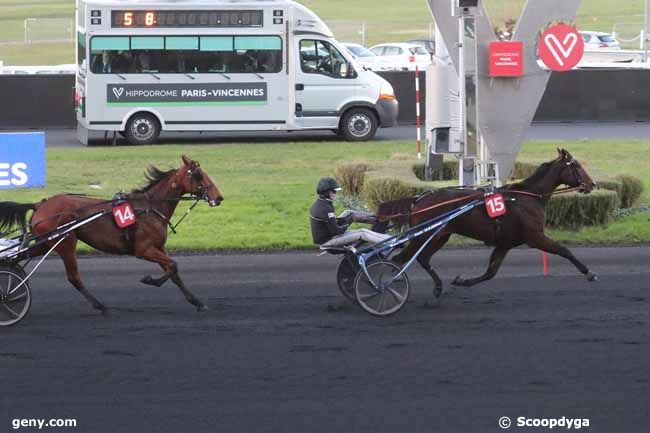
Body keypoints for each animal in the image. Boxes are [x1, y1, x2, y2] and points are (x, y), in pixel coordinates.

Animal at [0, 155, 224, 314]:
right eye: (199, 174)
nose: (219, 197)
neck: (149, 208)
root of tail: (40, 204)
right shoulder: (143, 249)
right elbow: (173, 266)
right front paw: (149, 280)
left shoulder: (158, 247)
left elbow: (173, 271)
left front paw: (197, 302)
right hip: (65, 242)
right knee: (74, 277)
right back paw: (100, 305)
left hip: (46, 243)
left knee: (19, 258)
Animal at [374, 150, 596, 298]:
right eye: (576, 166)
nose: (592, 184)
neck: (529, 196)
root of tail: (418, 200)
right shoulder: (535, 237)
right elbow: (563, 250)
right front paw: (589, 273)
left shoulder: (505, 243)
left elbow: (490, 272)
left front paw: (462, 281)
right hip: (425, 235)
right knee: (399, 259)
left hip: (440, 235)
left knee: (421, 258)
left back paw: (436, 287)